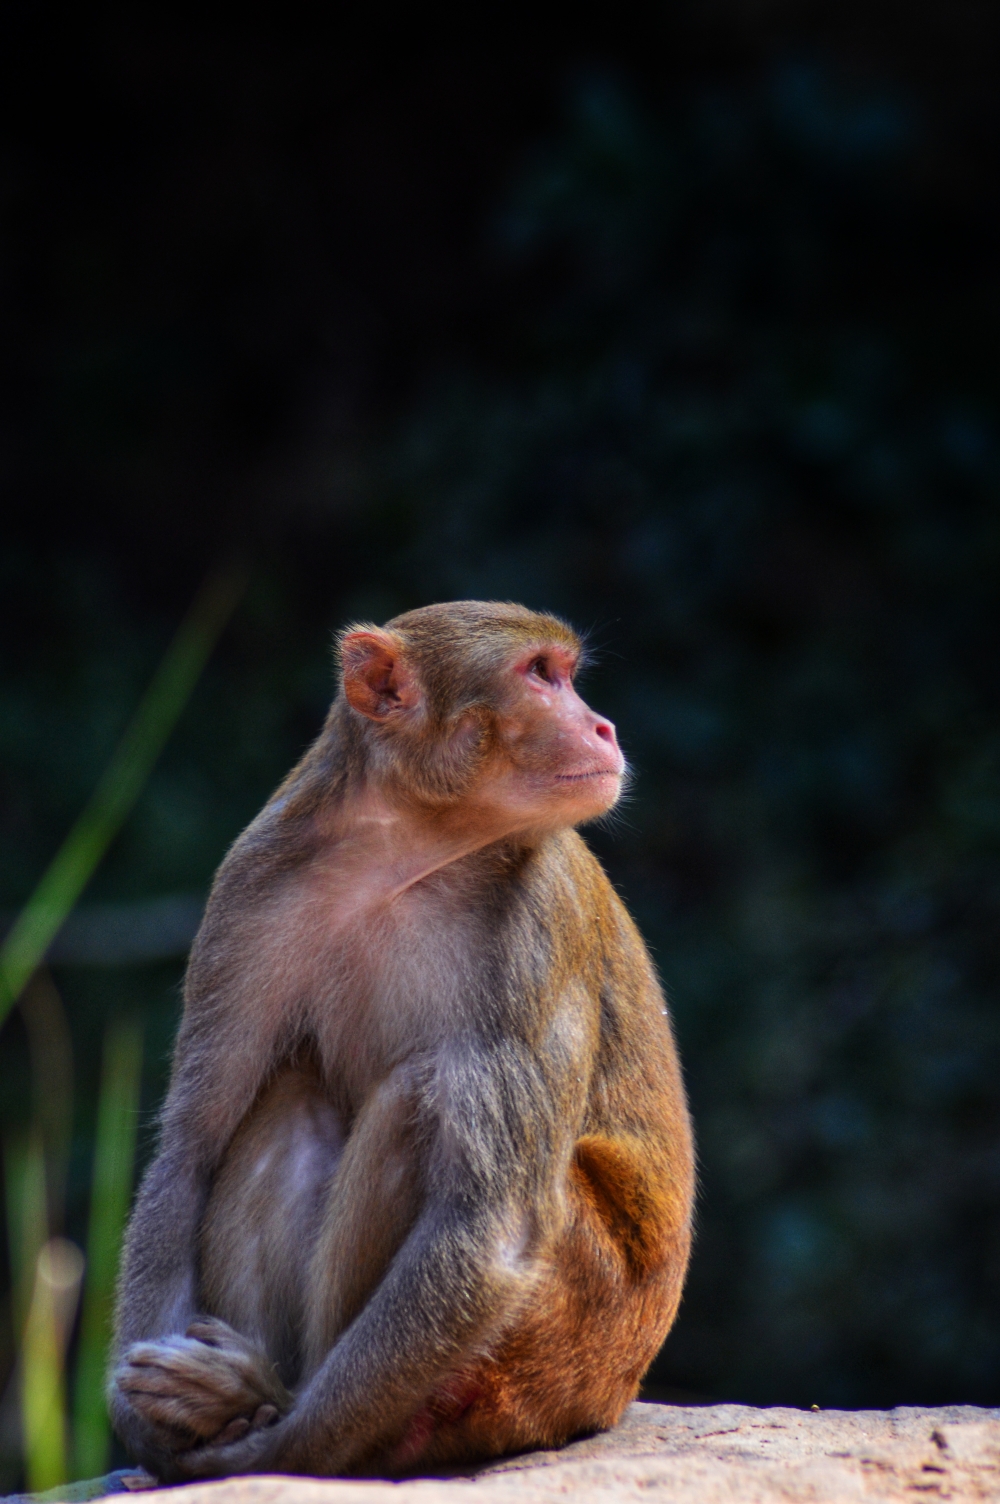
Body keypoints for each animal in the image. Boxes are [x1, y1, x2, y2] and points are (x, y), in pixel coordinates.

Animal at [110, 600, 694, 1482]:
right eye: (541, 675)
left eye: (565, 673)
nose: (604, 726)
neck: (406, 851)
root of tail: (616, 1390)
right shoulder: (249, 891)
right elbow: (192, 1147)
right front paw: (151, 1429)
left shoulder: (537, 920)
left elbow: (493, 1229)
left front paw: (269, 1447)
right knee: (293, 1098)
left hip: (556, 1343)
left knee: (425, 1099)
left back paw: (277, 1402)